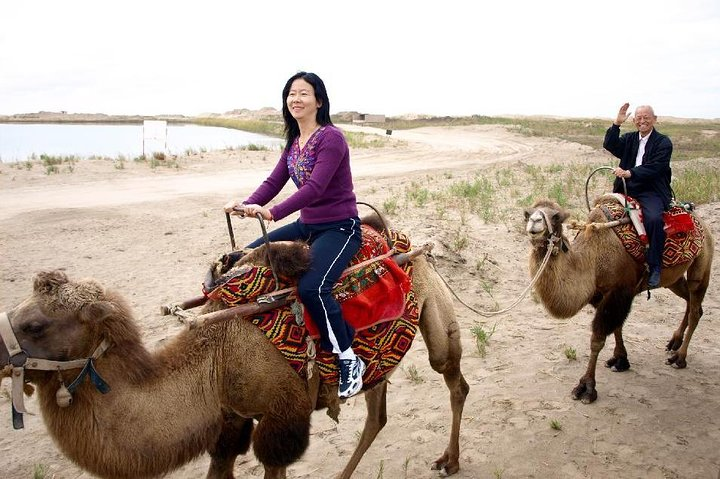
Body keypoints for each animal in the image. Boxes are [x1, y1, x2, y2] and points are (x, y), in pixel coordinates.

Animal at [0, 216, 469, 478]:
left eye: (34, 324)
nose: (1, 355)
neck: (218, 357)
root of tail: (400, 238)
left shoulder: (283, 418)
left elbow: (274, 462)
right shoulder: (231, 418)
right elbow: (221, 464)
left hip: (431, 301)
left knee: (452, 376)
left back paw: (449, 461)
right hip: (380, 356)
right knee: (377, 413)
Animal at [524, 198, 714, 404]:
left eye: (556, 217)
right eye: (527, 214)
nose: (534, 222)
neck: (592, 258)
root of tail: (701, 221)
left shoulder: (619, 291)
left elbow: (597, 339)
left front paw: (586, 387)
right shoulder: (602, 295)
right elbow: (617, 327)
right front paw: (620, 360)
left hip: (703, 262)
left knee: (695, 307)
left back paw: (679, 358)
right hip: (673, 279)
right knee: (691, 301)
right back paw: (674, 342)